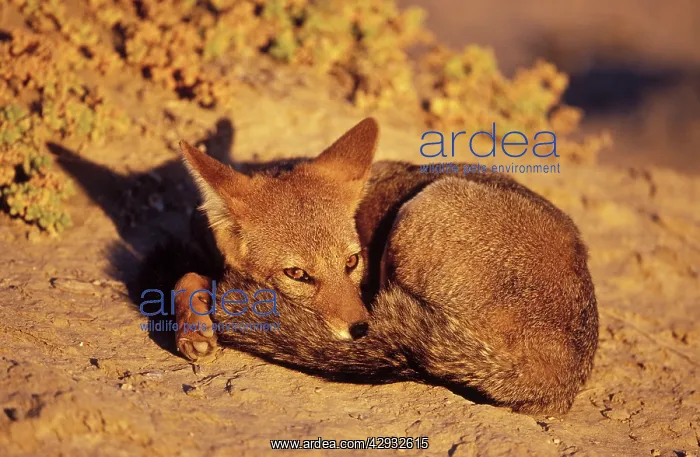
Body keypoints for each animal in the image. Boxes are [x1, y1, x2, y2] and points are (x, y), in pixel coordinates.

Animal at [170, 118, 598, 415]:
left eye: (352, 261)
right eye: (297, 274)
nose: (361, 327)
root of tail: (560, 374)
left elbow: (189, 277)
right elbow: (185, 276)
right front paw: (193, 329)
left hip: (420, 210)